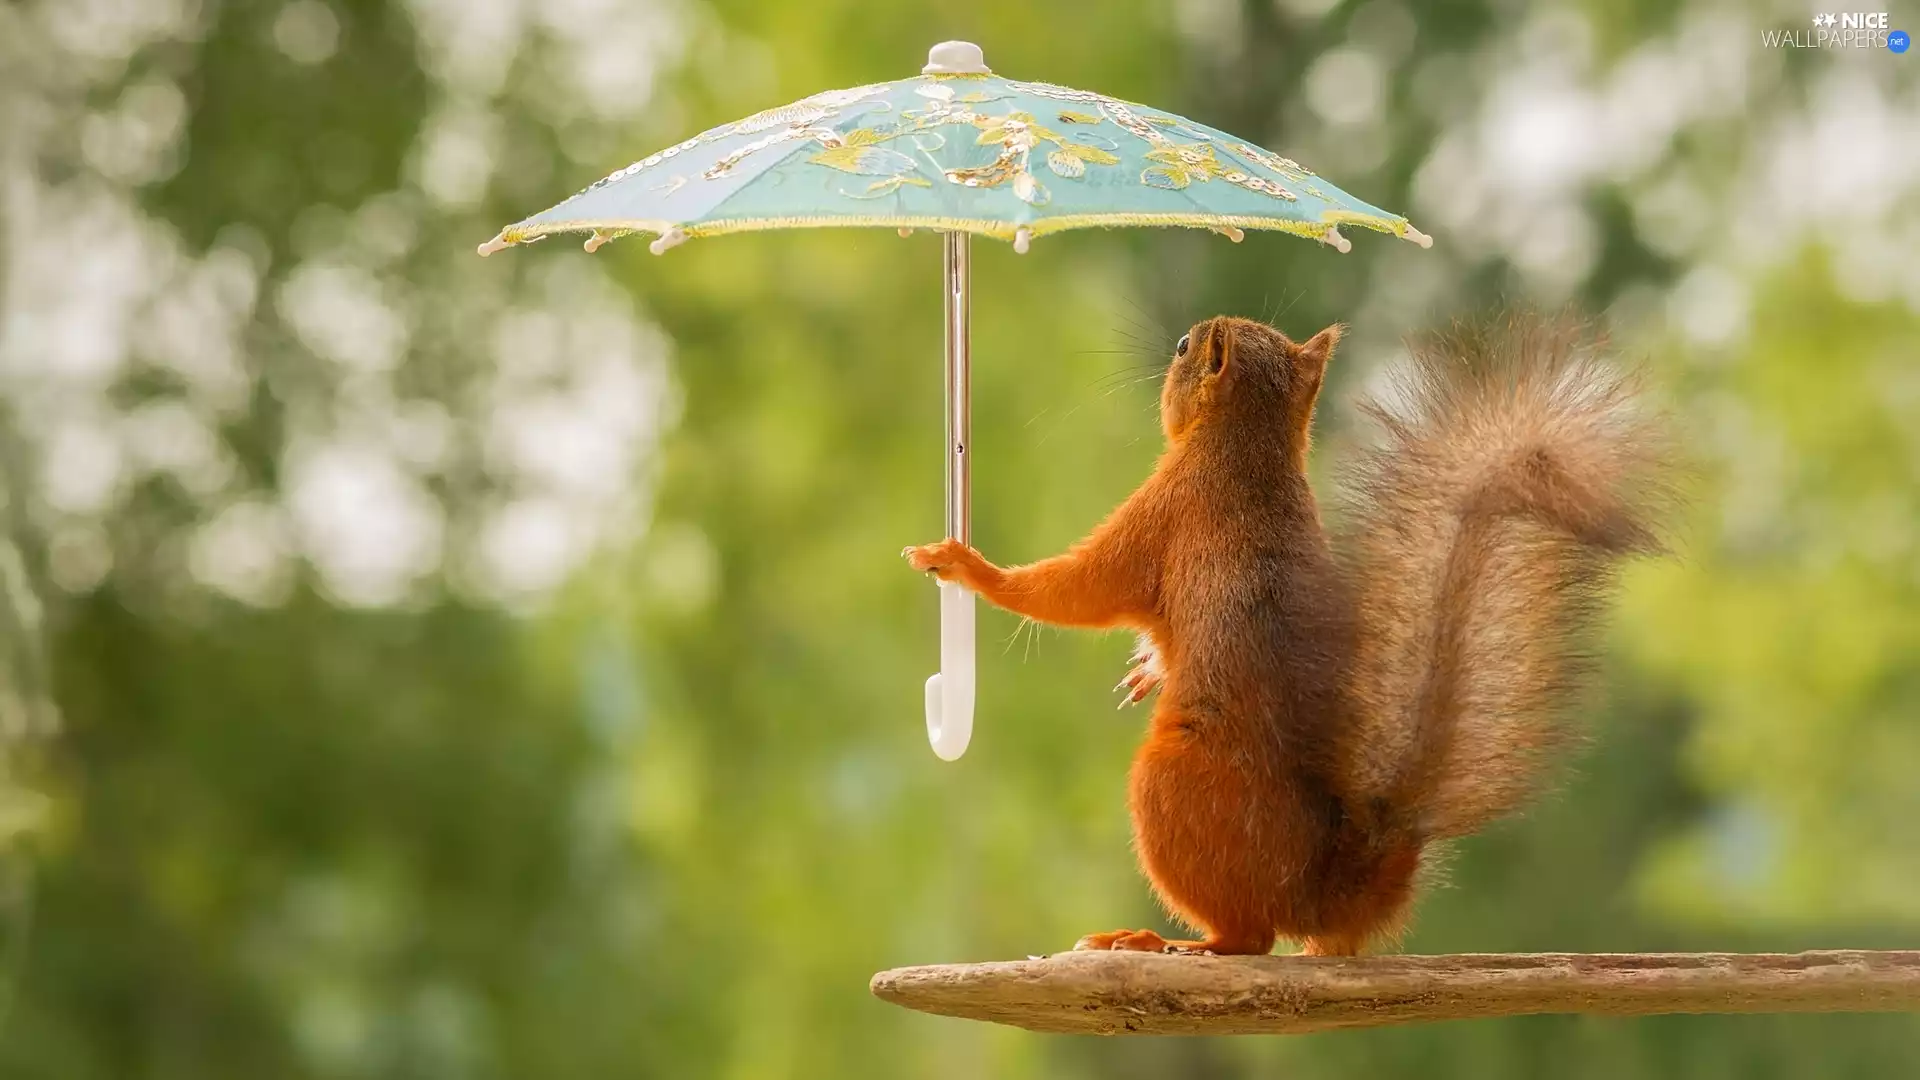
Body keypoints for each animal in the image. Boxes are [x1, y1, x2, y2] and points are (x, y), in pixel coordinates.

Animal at [904, 312, 1670, 956]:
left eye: (1183, 347)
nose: (1168, 349)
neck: (1250, 444)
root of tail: (1322, 893)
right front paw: (1148, 669)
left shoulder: (1165, 509)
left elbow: (1077, 588)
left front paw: (968, 566)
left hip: (1172, 783)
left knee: (1250, 939)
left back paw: (1162, 941)